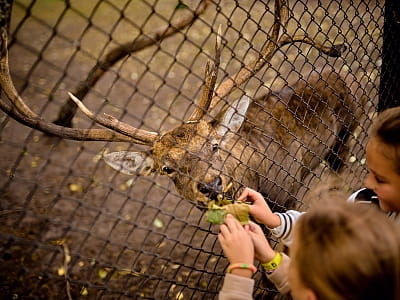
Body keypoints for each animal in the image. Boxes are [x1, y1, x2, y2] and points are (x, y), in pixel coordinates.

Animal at [0, 0, 360, 212]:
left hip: (348, 131)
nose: (211, 185)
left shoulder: (288, 194)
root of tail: (340, 72)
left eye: (214, 145)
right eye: (166, 169)